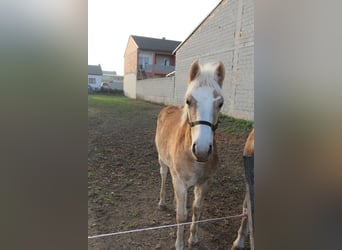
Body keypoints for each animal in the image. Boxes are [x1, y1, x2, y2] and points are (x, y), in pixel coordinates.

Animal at [155, 61, 224, 250]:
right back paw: (162, 202)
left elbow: (196, 210)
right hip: (162, 162)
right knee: (163, 177)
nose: (202, 150)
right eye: (188, 101)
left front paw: (193, 239)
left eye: (220, 103)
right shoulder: (179, 181)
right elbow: (181, 215)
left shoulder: (205, 183)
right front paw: (179, 244)